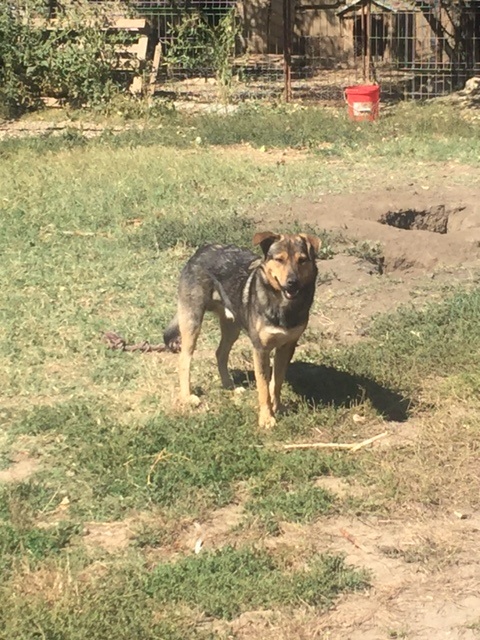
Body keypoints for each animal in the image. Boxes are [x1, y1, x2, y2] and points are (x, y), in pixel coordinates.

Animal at [163, 232, 320, 428]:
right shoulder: (260, 349)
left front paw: (278, 408)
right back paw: (188, 397)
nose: (292, 283)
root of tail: (202, 249)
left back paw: (229, 385)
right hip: (192, 321)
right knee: (184, 360)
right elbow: (263, 387)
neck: (283, 304)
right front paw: (266, 418)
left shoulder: (287, 346)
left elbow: (277, 381)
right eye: (279, 259)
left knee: (220, 353)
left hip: (232, 327)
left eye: (302, 260)